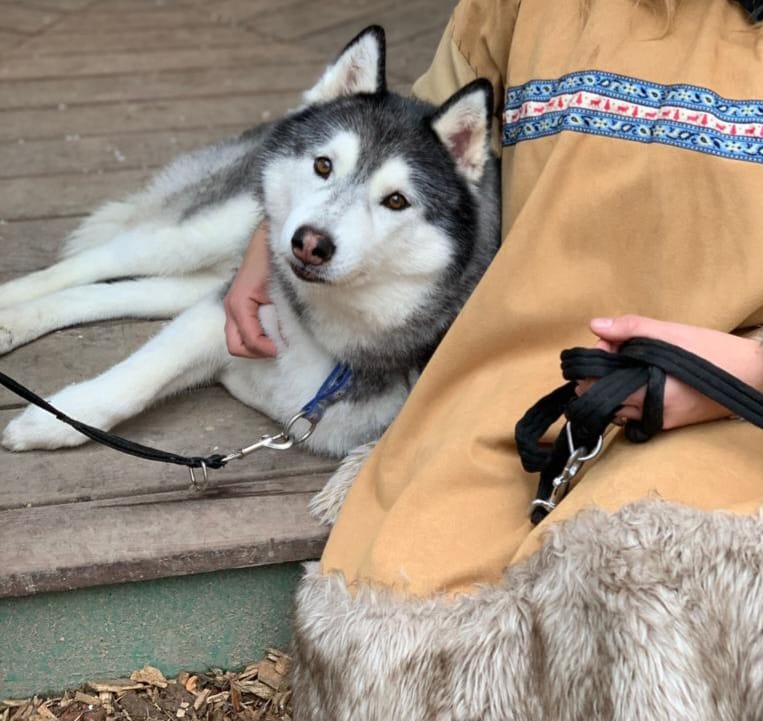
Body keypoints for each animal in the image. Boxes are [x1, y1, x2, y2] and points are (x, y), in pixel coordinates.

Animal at [0, 26, 500, 464]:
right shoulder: (218, 316)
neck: (331, 334)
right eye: (323, 165)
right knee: (90, 264)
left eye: (396, 200)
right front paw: (57, 420)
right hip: (208, 233)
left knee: (114, 291)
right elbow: (137, 377)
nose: (309, 243)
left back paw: (12, 323)